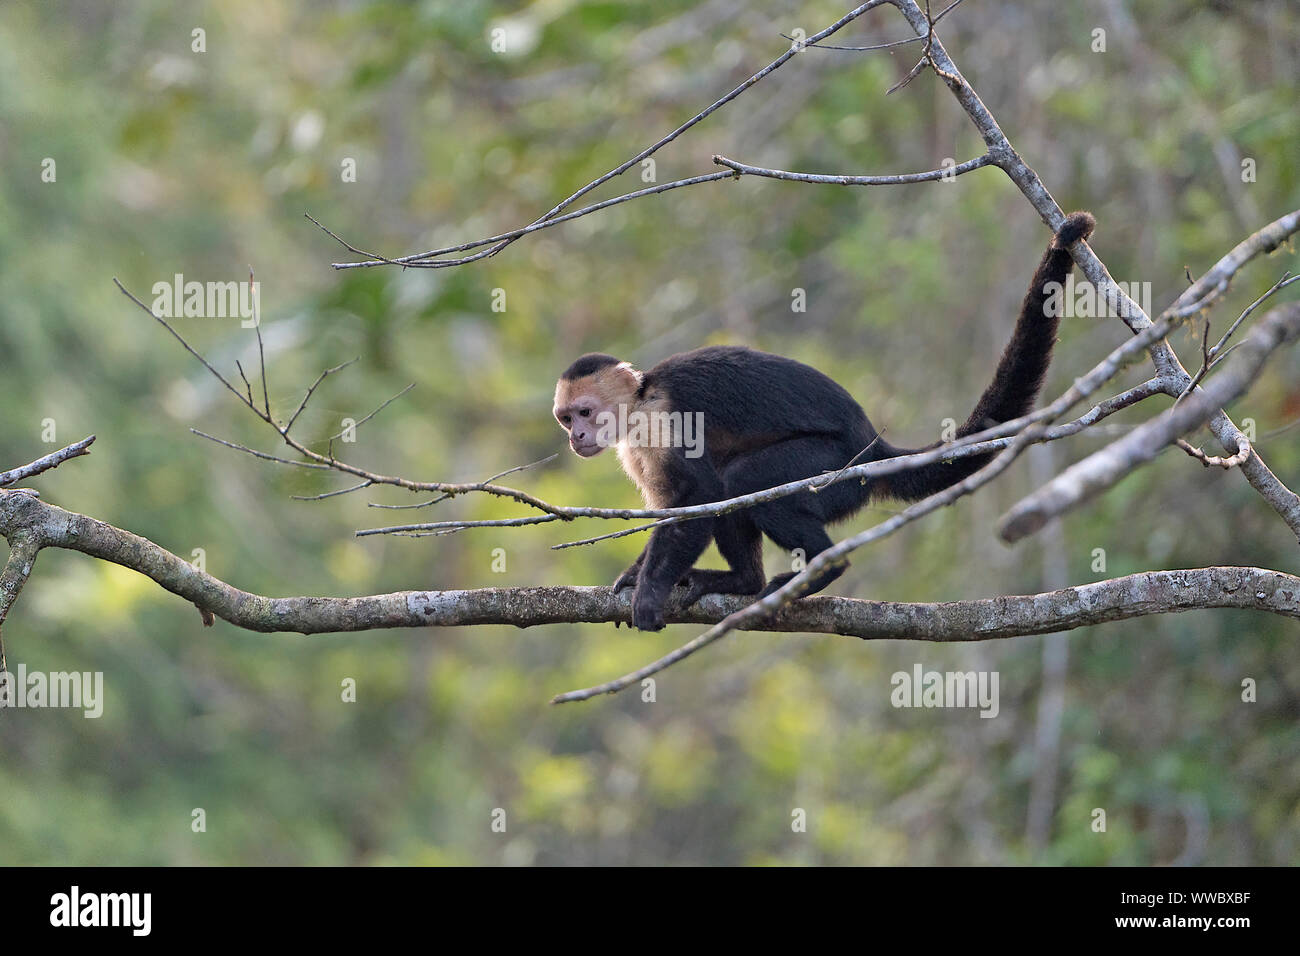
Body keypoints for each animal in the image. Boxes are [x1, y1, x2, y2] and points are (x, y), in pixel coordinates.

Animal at [551, 213, 1097, 632]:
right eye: (565, 419)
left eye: (585, 413)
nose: (577, 436)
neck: (638, 403)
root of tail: (872, 445)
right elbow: (678, 506)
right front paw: (636, 574)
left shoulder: (663, 418)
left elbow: (701, 495)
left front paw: (649, 590)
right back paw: (743, 583)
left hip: (835, 470)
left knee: (743, 479)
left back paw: (818, 571)